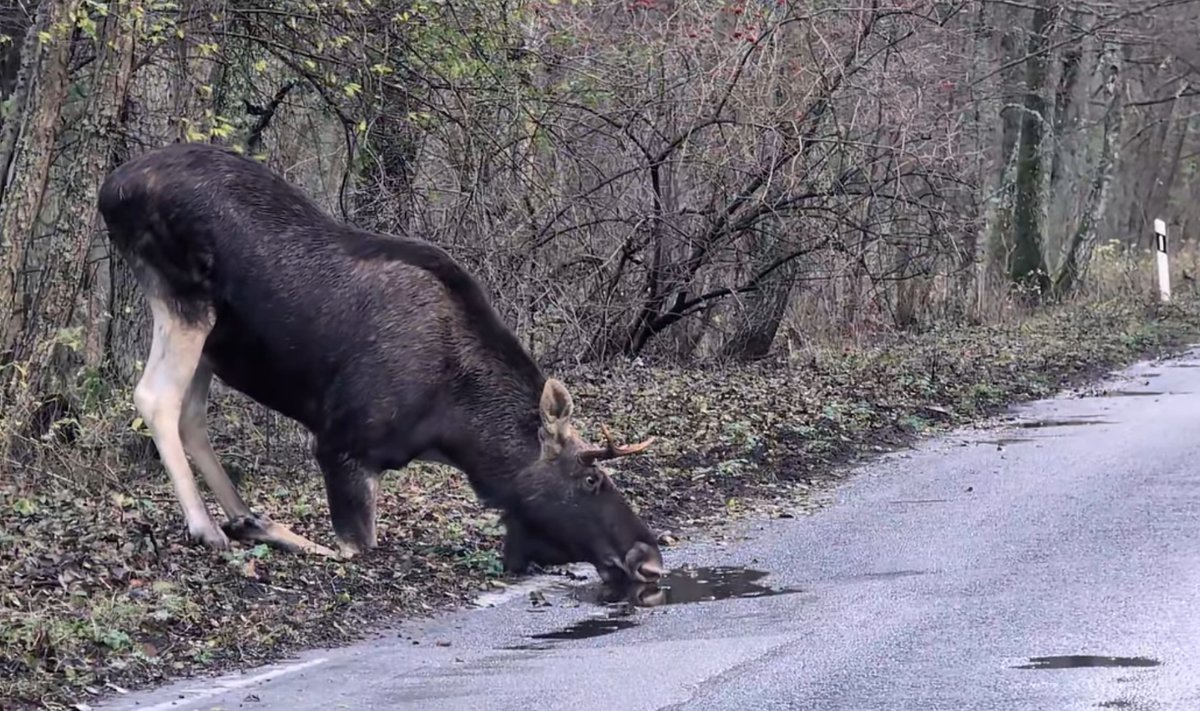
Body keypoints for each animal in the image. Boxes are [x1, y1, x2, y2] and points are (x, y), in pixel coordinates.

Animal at [96, 141, 667, 586]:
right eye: (591, 480)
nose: (650, 559)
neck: (454, 426)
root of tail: (111, 189)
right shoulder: (340, 445)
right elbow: (356, 549)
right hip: (184, 300)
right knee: (156, 397)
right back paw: (211, 527)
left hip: (212, 337)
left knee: (191, 413)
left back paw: (242, 515)